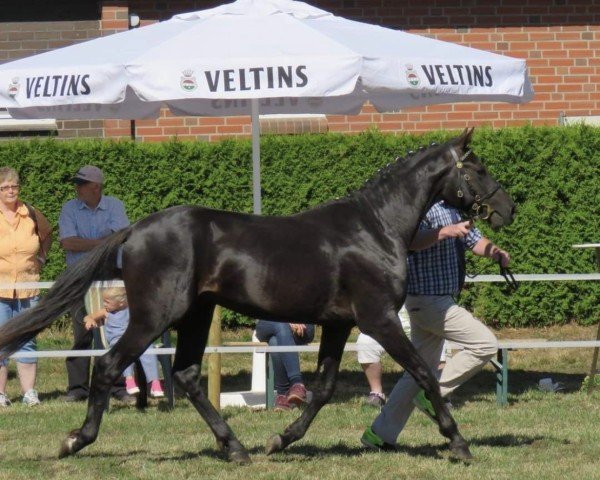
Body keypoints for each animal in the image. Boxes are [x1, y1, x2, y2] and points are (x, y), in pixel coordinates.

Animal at [0, 126, 516, 462]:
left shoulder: (338, 324)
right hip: (153, 316)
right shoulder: (380, 319)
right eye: (478, 168)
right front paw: (459, 443)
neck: (375, 227)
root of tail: (136, 230)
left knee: (186, 375)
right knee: (109, 366)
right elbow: (425, 374)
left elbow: (323, 388)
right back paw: (75, 441)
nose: (507, 210)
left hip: (194, 315)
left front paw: (280, 440)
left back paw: (236, 449)